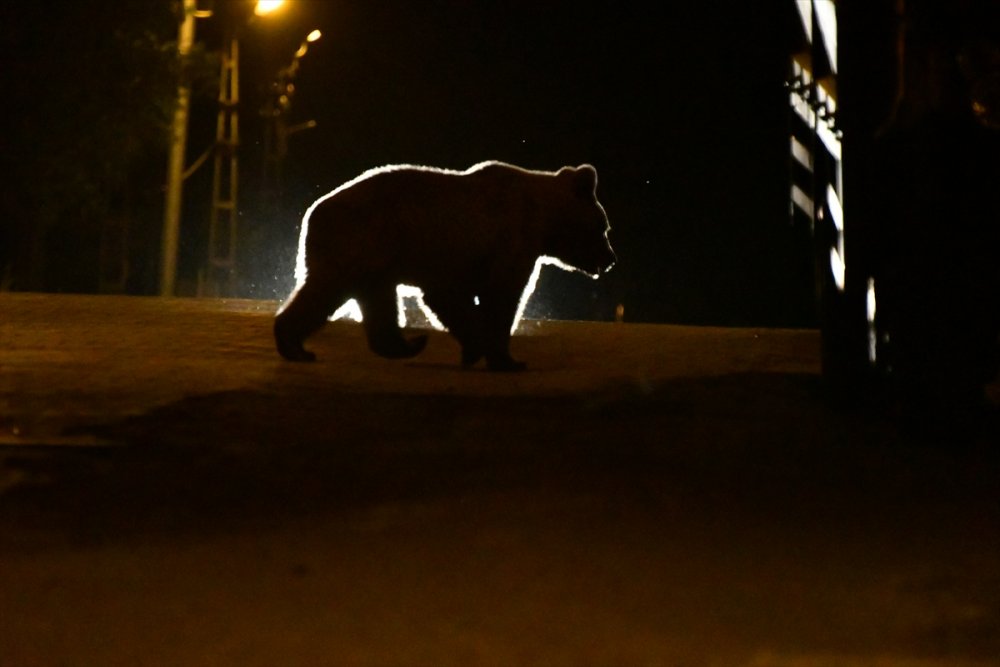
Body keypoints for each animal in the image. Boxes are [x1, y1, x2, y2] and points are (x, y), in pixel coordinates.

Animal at [276, 160, 616, 374]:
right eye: (603, 227)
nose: (610, 259)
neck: (542, 220)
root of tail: (312, 212)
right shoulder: (504, 244)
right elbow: (500, 299)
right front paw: (505, 358)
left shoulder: (453, 259)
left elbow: (449, 300)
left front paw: (475, 350)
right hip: (361, 243)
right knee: (326, 292)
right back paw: (296, 346)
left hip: (374, 260)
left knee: (374, 302)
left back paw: (404, 345)